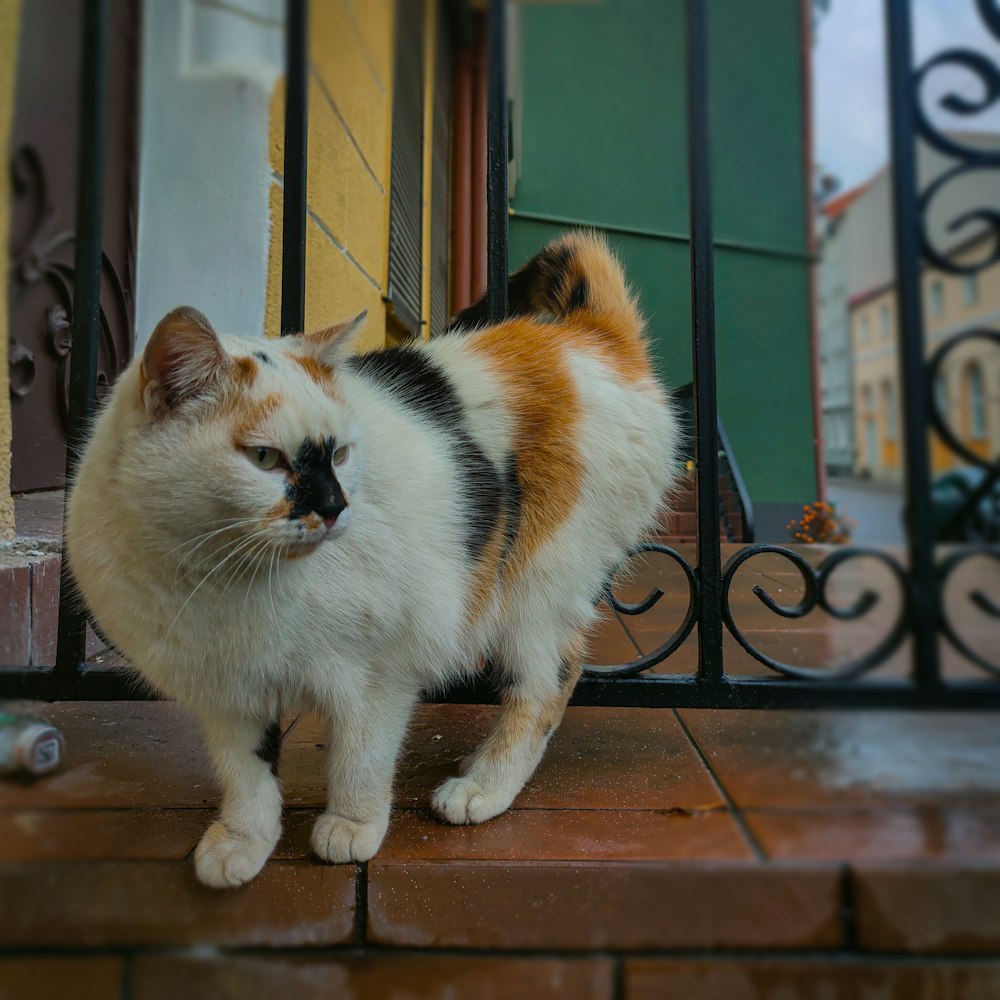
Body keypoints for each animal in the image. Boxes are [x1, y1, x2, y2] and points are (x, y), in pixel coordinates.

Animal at [66, 230, 684, 888]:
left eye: (338, 453)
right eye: (264, 458)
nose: (337, 507)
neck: (224, 576)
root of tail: (593, 336)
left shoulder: (382, 668)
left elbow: (361, 756)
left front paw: (351, 827)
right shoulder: (227, 692)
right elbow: (244, 774)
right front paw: (242, 842)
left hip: (540, 583)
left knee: (547, 685)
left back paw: (482, 788)